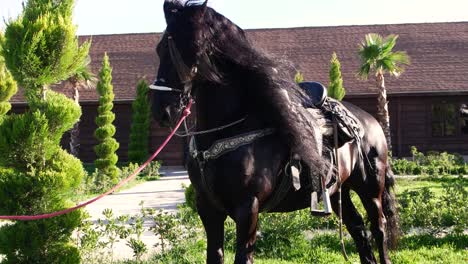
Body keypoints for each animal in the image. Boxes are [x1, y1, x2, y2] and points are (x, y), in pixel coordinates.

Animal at [151, 1, 398, 262]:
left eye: (194, 48)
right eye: (160, 48)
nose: (162, 109)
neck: (224, 132)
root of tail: (372, 123)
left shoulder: (248, 208)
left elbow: (243, 256)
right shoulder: (207, 207)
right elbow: (214, 254)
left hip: (370, 189)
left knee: (378, 228)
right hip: (339, 189)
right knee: (358, 230)